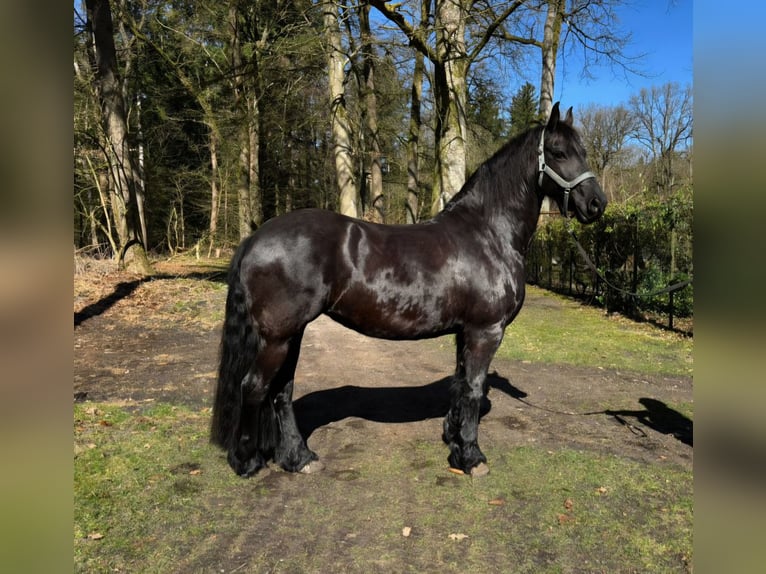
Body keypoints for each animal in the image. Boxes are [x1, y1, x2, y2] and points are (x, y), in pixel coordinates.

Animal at [211, 102, 606, 477]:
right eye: (557, 152)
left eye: (583, 150)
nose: (597, 204)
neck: (488, 233)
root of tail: (256, 238)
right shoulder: (486, 331)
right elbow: (474, 388)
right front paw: (473, 458)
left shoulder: (465, 332)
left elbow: (460, 385)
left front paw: (454, 441)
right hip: (277, 338)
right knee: (254, 387)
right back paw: (246, 461)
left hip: (291, 335)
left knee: (281, 391)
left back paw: (298, 458)